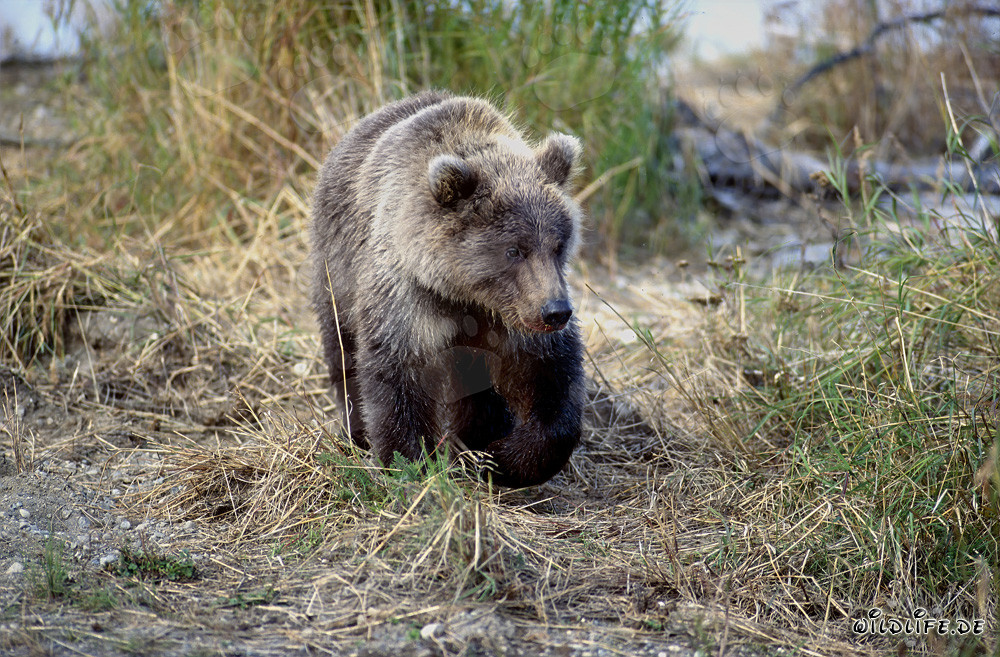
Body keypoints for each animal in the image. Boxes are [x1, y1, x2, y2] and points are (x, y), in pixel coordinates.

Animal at [310, 91, 585, 488]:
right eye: (514, 249)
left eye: (558, 244)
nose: (555, 311)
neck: (464, 292)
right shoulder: (406, 295)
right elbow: (396, 374)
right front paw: (410, 461)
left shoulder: (513, 314)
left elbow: (549, 376)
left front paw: (500, 457)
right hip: (335, 266)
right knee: (342, 347)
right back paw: (357, 431)